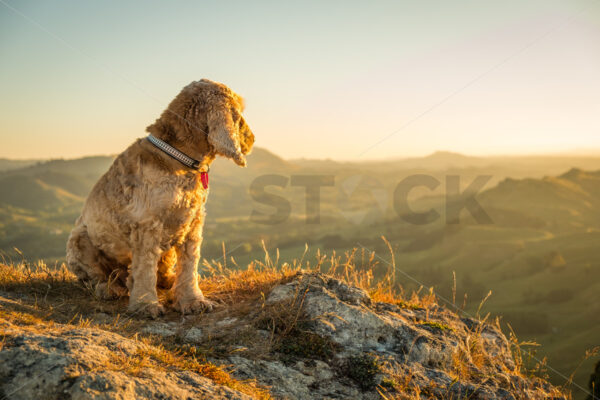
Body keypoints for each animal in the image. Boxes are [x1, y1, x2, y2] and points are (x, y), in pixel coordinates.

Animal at [65, 79, 253, 316]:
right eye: (238, 112)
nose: (252, 139)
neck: (178, 158)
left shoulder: (193, 223)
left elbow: (189, 266)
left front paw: (192, 300)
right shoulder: (147, 226)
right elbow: (145, 269)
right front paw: (146, 305)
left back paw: (166, 280)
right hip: (79, 239)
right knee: (94, 277)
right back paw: (109, 288)